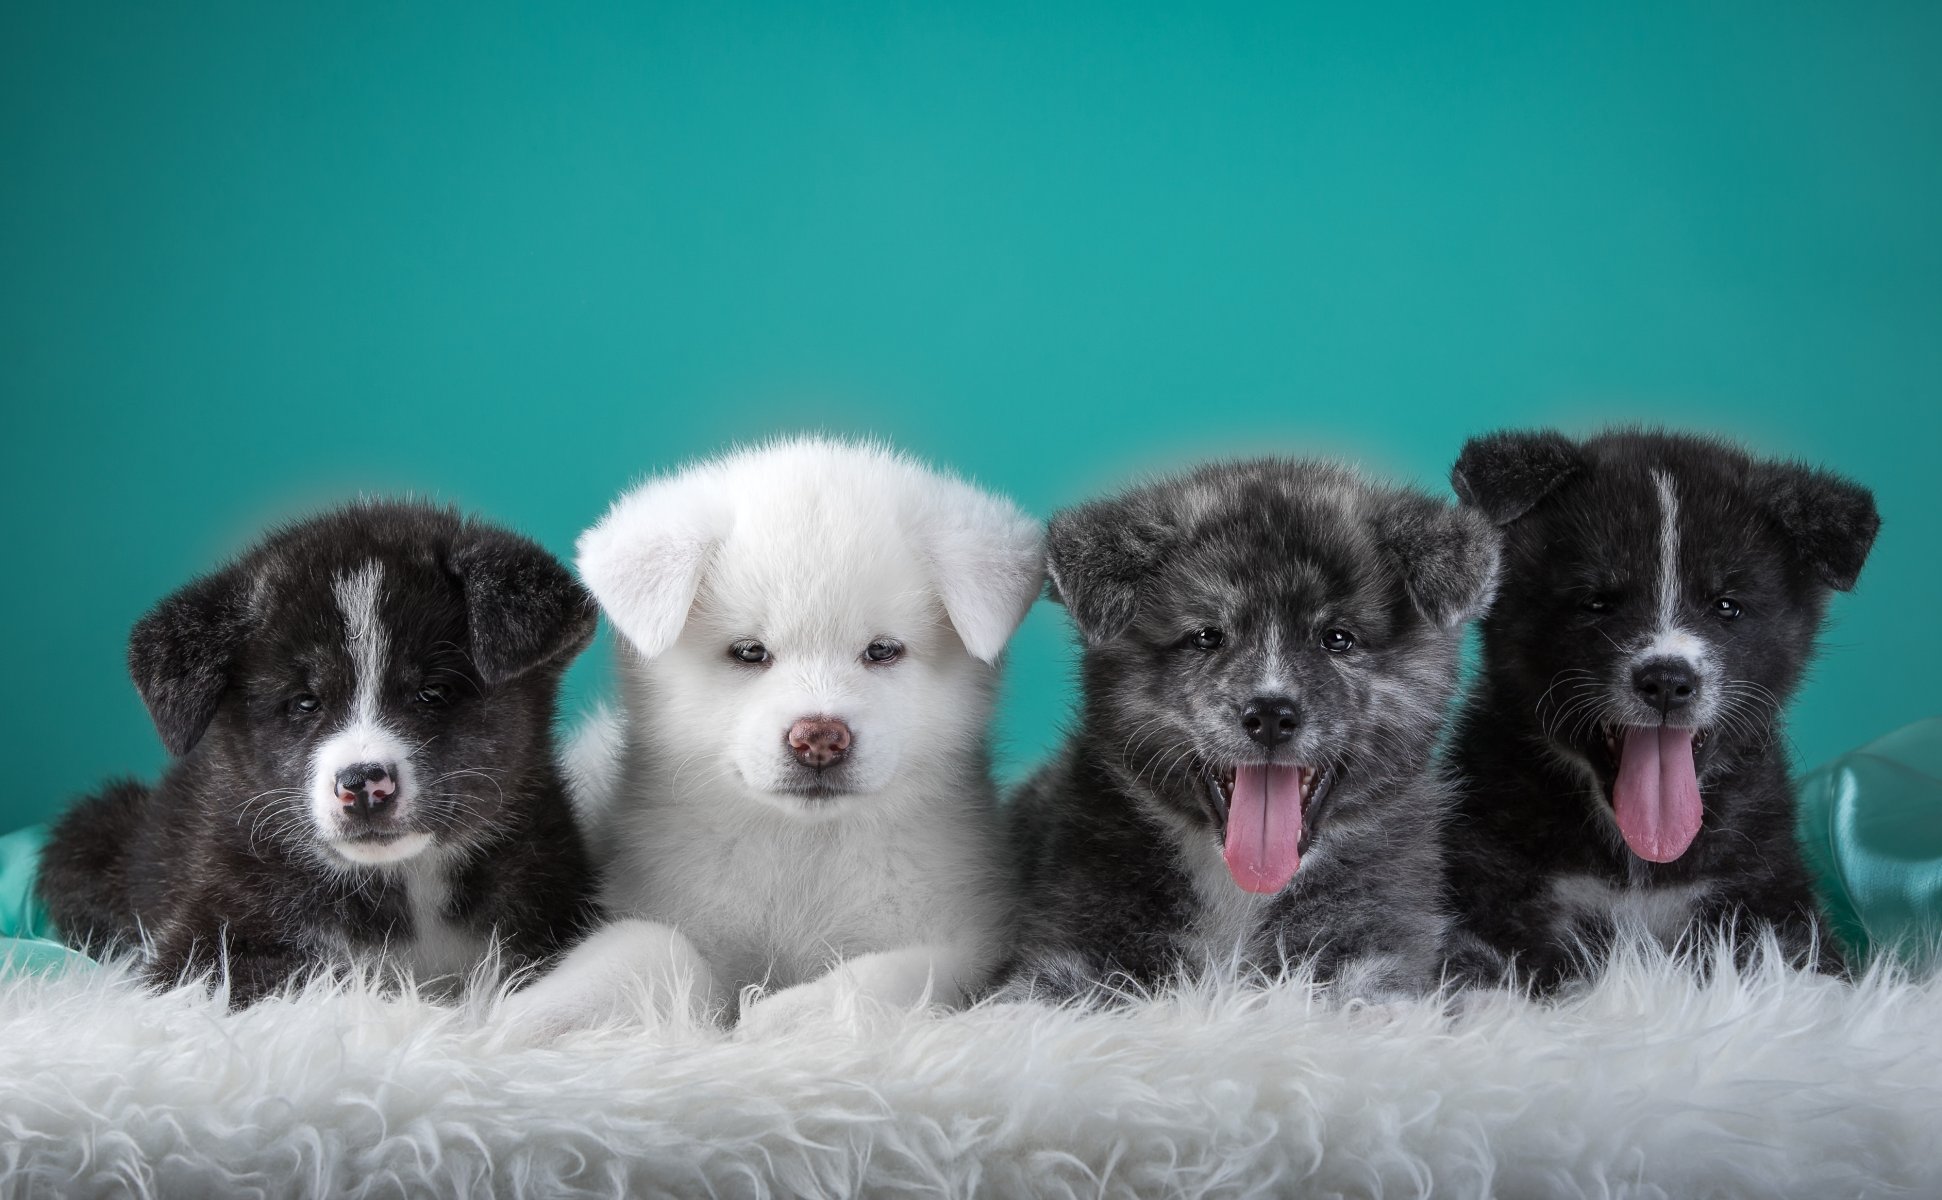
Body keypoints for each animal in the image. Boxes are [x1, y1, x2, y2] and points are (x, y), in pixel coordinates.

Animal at [508, 434, 1040, 1033]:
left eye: (882, 650)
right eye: (749, 652)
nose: (819, 738)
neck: (802, 853)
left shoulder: (965, 939)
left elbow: (891, 976)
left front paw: (782, 1019)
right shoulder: (658, 902)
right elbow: (656, 947)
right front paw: (531, 1013)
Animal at [1002, 458, 1499, 1001]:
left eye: (1338, 638)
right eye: (1206, 637)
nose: (1271, 715)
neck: (1242, 890)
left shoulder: (1375, 940)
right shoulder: (1080, 938)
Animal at [1452, 427, 1872, 982]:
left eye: (1727, 606)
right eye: (1597, 601)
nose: (1668, 681)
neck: (1640, 867)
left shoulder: (1769, 901)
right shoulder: (1493, 892)